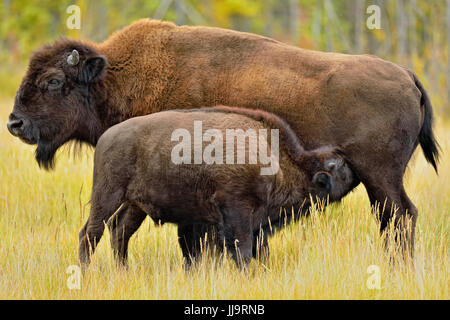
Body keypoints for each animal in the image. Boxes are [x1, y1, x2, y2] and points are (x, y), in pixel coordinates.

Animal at [80, 107, 356, 268]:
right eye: (338, 166)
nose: (353, 170)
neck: (277, 159)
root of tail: (107, 137)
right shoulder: (237, 210)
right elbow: (242, 250)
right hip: (107, 195)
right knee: (91, 232)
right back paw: (86, 271)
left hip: (135, 206)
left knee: (119, 231)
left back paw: (124, 271)